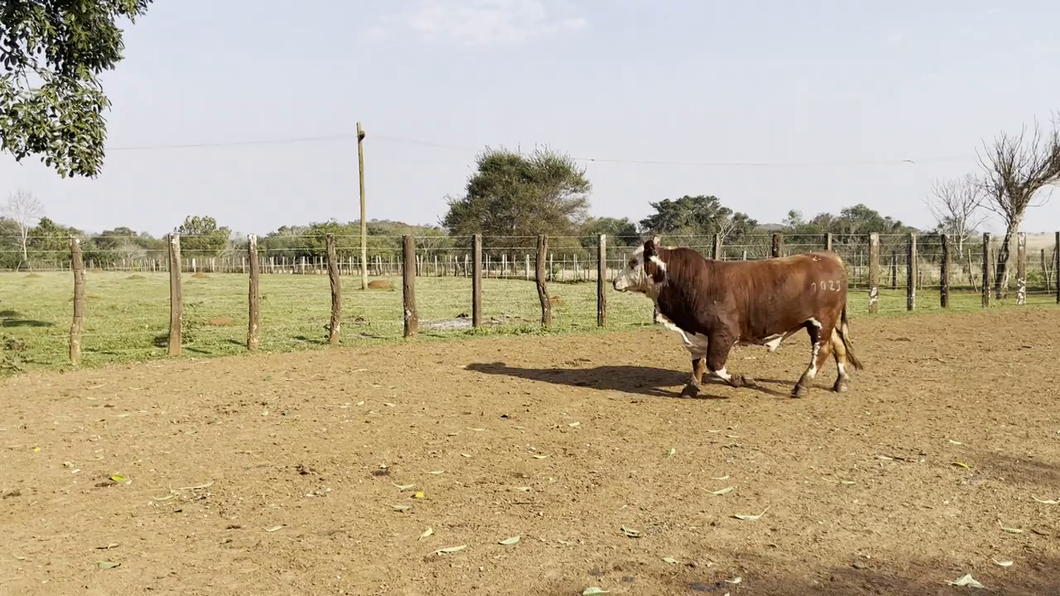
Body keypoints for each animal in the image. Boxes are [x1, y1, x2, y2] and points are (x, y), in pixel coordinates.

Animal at [614, 234, 860, 396]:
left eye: (633, 262)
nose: (615, 281)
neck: (692, 281)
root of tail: (829, 256)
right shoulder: (696, 333)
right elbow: (698, 362)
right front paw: (691, 387)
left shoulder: (723, 333)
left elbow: (714, 364)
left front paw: (742, 380)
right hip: (822, 322)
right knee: (837, 346)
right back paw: (841, 382)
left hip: (821, 321)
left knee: (822, 350)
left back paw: (802, 386)